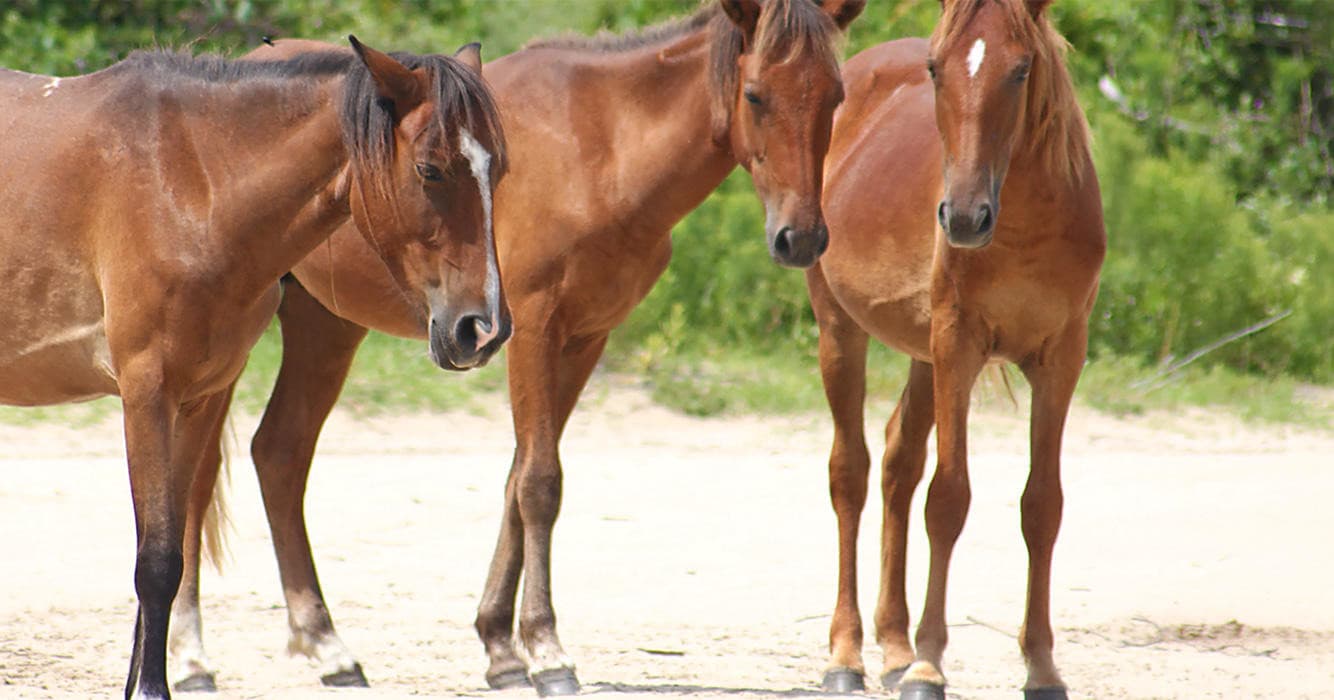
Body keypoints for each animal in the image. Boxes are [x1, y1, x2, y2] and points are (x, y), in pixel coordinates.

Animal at [0, 37, 508, 699]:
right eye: (430, 169)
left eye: (498, 170)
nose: (483, 330)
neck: (191, 182)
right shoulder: (146, 395)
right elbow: (155, 562)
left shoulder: (198, 397)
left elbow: (171, 552)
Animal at [167, 0, 864, 694]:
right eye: (755, 95)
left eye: (836, 95)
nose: (801, 238)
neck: (602, 146)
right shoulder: (532, 329)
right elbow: (539, 483)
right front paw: (547, 649)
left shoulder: (583, 341)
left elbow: (517, 480)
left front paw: (501, 646)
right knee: (198, 478)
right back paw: (192, 656)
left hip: (327, 325)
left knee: (280, 454)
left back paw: (325, 644)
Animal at [808, 1, 1105, 698]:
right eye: (935, 68)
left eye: (1020, 70)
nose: (965, 218)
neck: (1028, 227)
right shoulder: (958, 344)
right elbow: (948, 500)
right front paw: (928, 665)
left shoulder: (1062, 358)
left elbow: (1041, 506)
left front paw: (1042, 666)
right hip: (842, 329)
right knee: (850, 473)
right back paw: (846, 656)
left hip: (922, 356)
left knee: (897, 464)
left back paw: (892, 646)